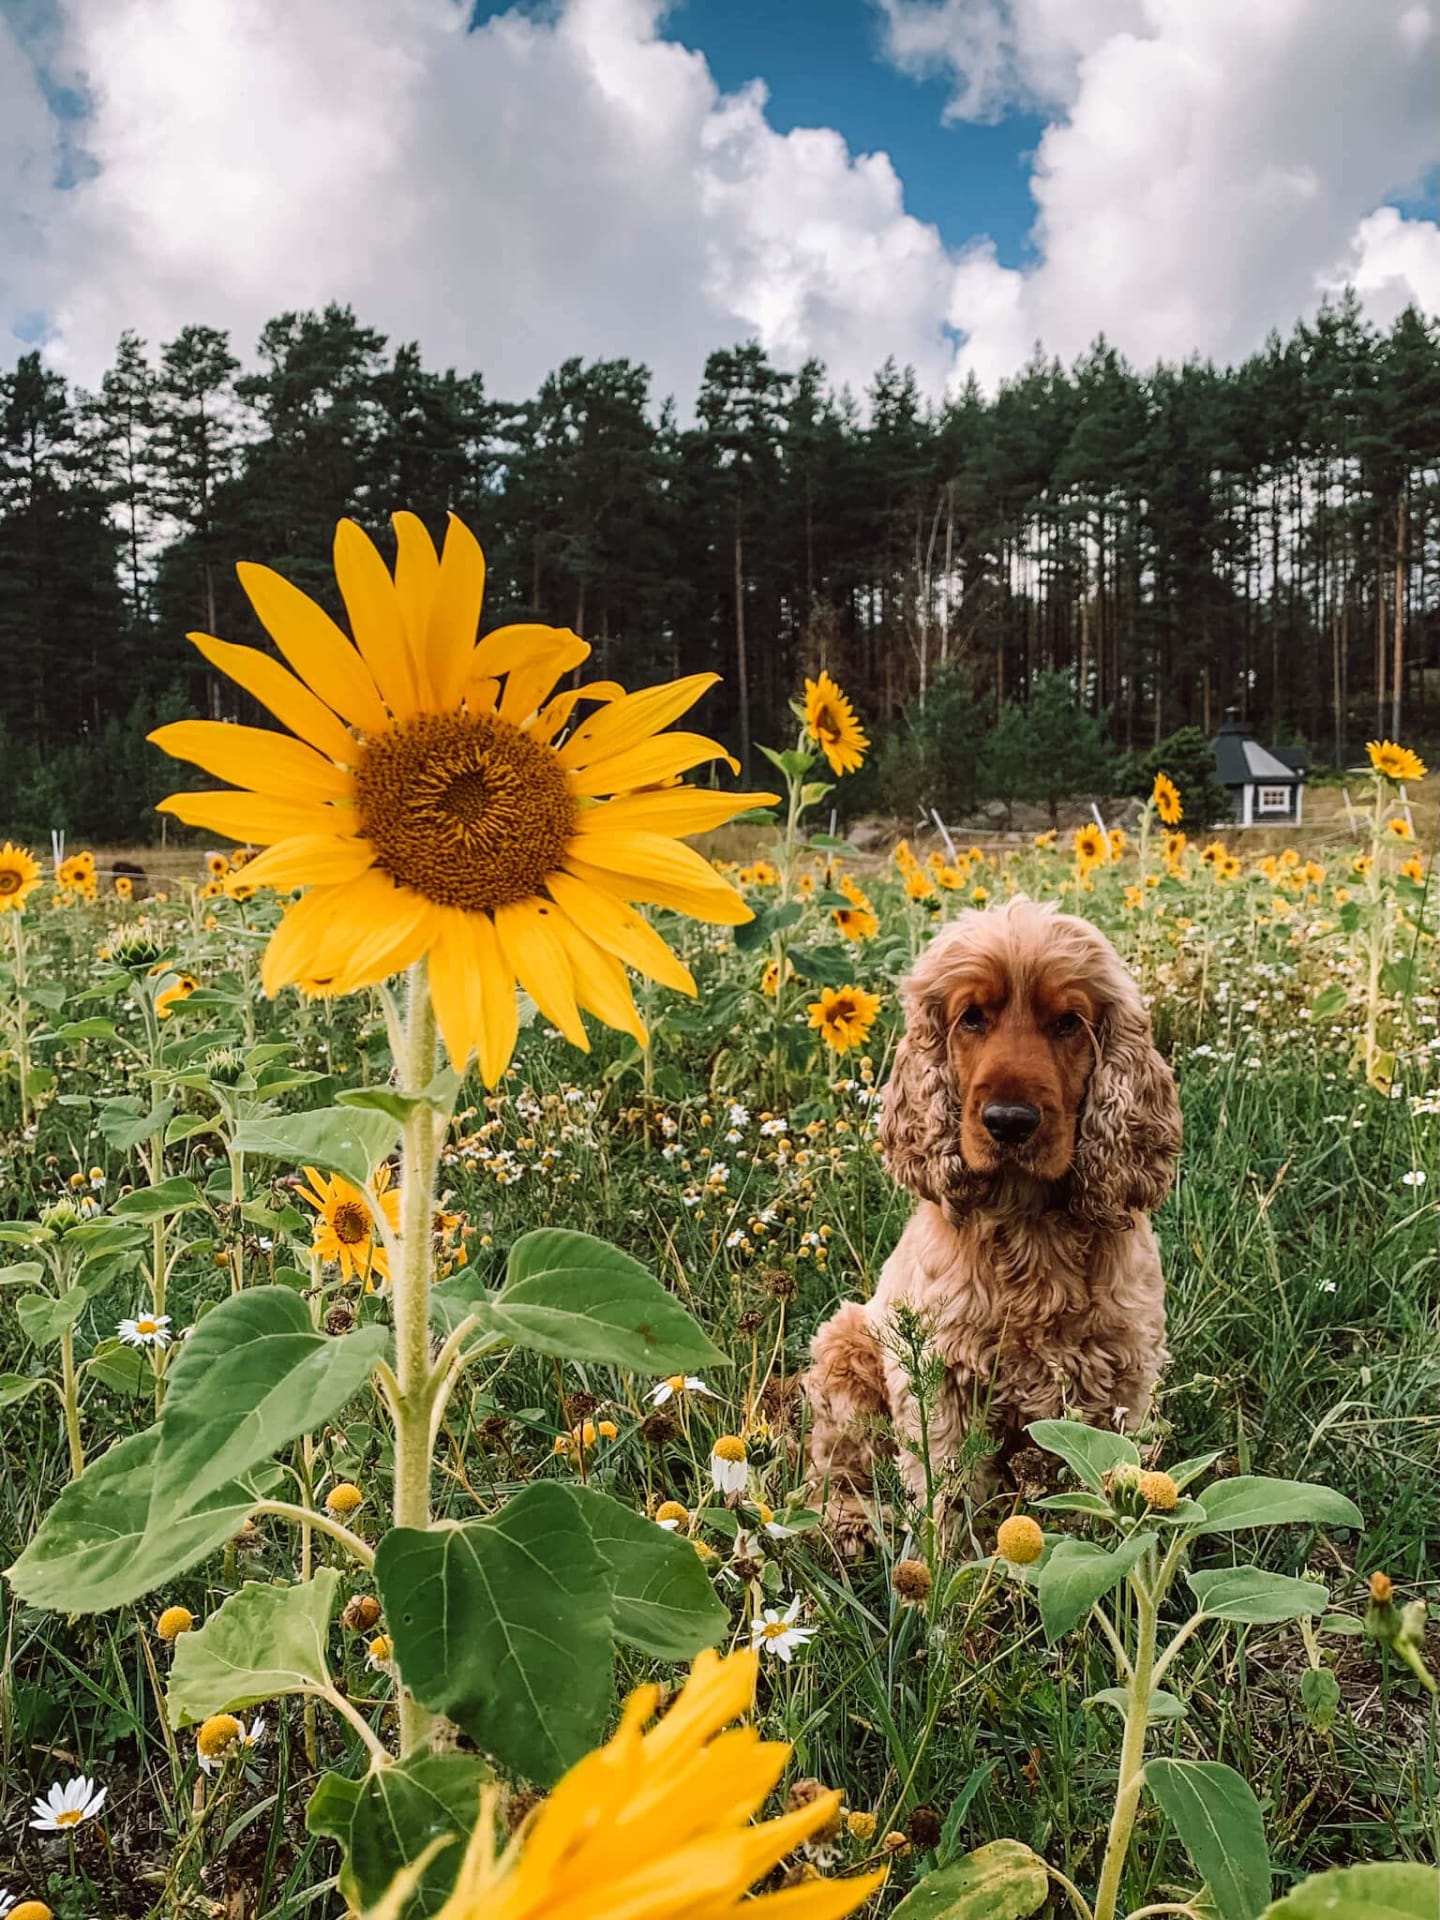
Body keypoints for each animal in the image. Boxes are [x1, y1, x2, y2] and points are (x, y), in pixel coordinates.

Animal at [806, 898, 1190, 1543]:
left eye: (1068, 1023)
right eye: (971, 1019)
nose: (1009, 1121)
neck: (1030, 1223)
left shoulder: (1126, 1374)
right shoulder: (938, 1377)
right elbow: (946, 1485)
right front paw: (944, 1561)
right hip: (845, 1346)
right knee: (836, 1462)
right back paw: (848, 1523)